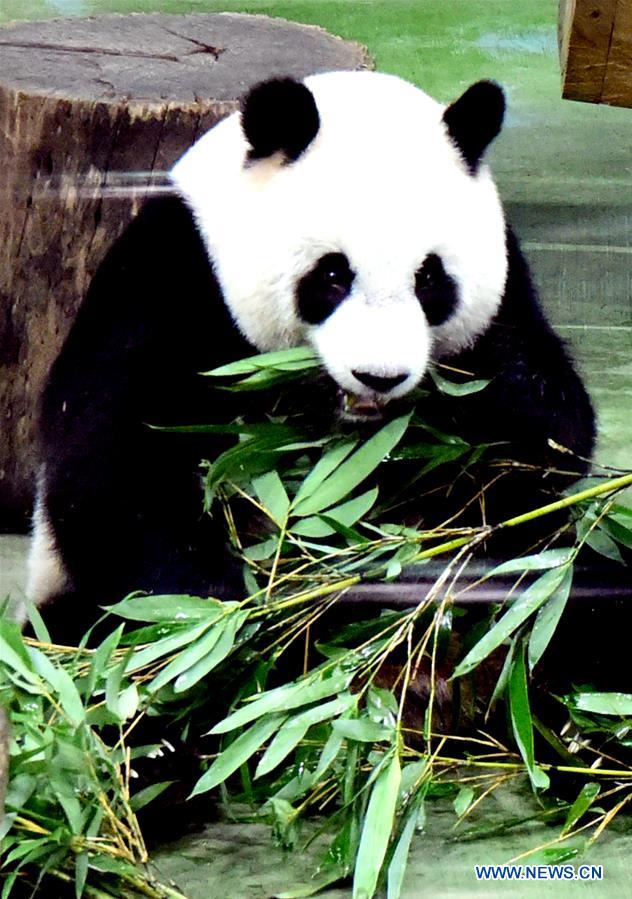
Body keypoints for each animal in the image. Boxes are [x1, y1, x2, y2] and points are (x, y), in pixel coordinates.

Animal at [26, 71, 595, 641]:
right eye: (333, 274)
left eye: (430, 278)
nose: (379, 377)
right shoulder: (172, 277)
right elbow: (113, 463)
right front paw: (225, 608)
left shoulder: (505, 300)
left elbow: (542, 434)